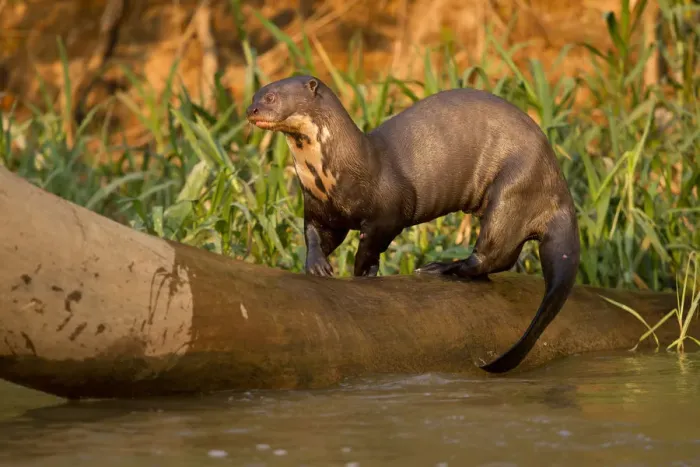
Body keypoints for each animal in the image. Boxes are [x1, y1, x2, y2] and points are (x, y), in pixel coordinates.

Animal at [245, 75, 580, 374]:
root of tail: (560, 195)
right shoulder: (319, 207)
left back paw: (443, 267)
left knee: (495, 253)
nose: (252, 110)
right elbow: (315, 235)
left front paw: (362, 271)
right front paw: (316, 265)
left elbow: (372, 243)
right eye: (255, 94)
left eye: (271, 97)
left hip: (514, 187)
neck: (331, 173)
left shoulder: (390, 209)